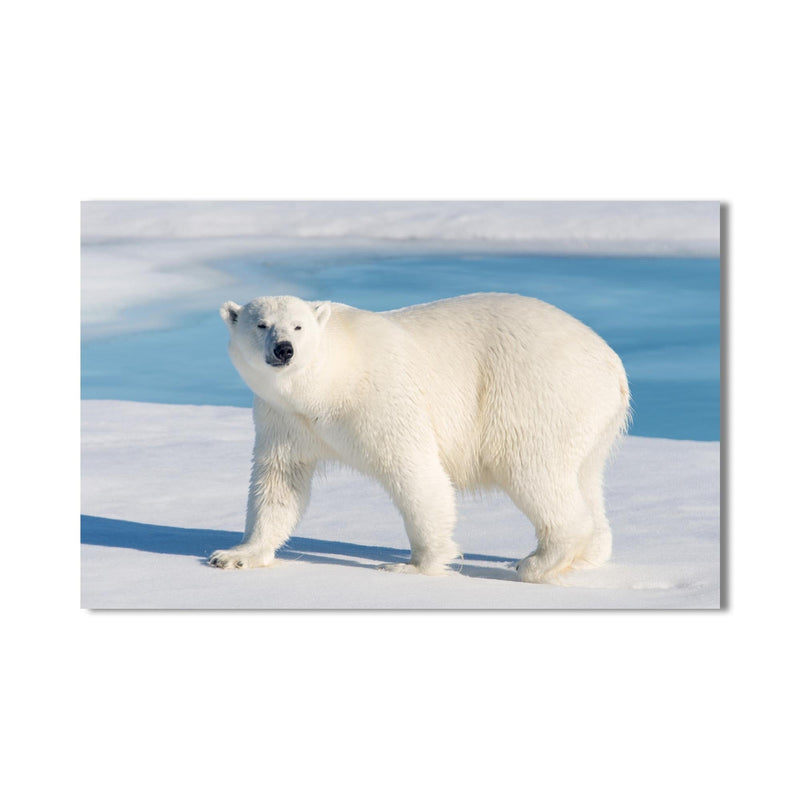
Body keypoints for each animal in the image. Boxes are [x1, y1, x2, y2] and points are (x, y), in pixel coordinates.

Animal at [209, 292, 630, 583]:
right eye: (261, 324)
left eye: (298, 326)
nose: (284, 350)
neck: (329, 383)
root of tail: (612, 363)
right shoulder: (284, 418)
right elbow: (279, 481)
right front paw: (235, 555)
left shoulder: (381, 398)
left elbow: (415, 472)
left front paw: (413, 566)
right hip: (591, 418)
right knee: (584, 476)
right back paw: (588, 555)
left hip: (535, 393)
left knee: (532, 470)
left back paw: (536, 562)